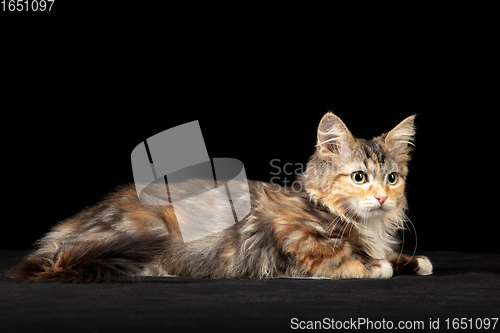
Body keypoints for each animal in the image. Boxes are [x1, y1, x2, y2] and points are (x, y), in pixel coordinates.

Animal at [6, 112, 434, 282]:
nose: (382, 198)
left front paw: (410, 261)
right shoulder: (295, 237)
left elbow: (388, 253)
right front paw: (377, 266)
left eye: (392, 178)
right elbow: (343, 256)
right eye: (359, 177)